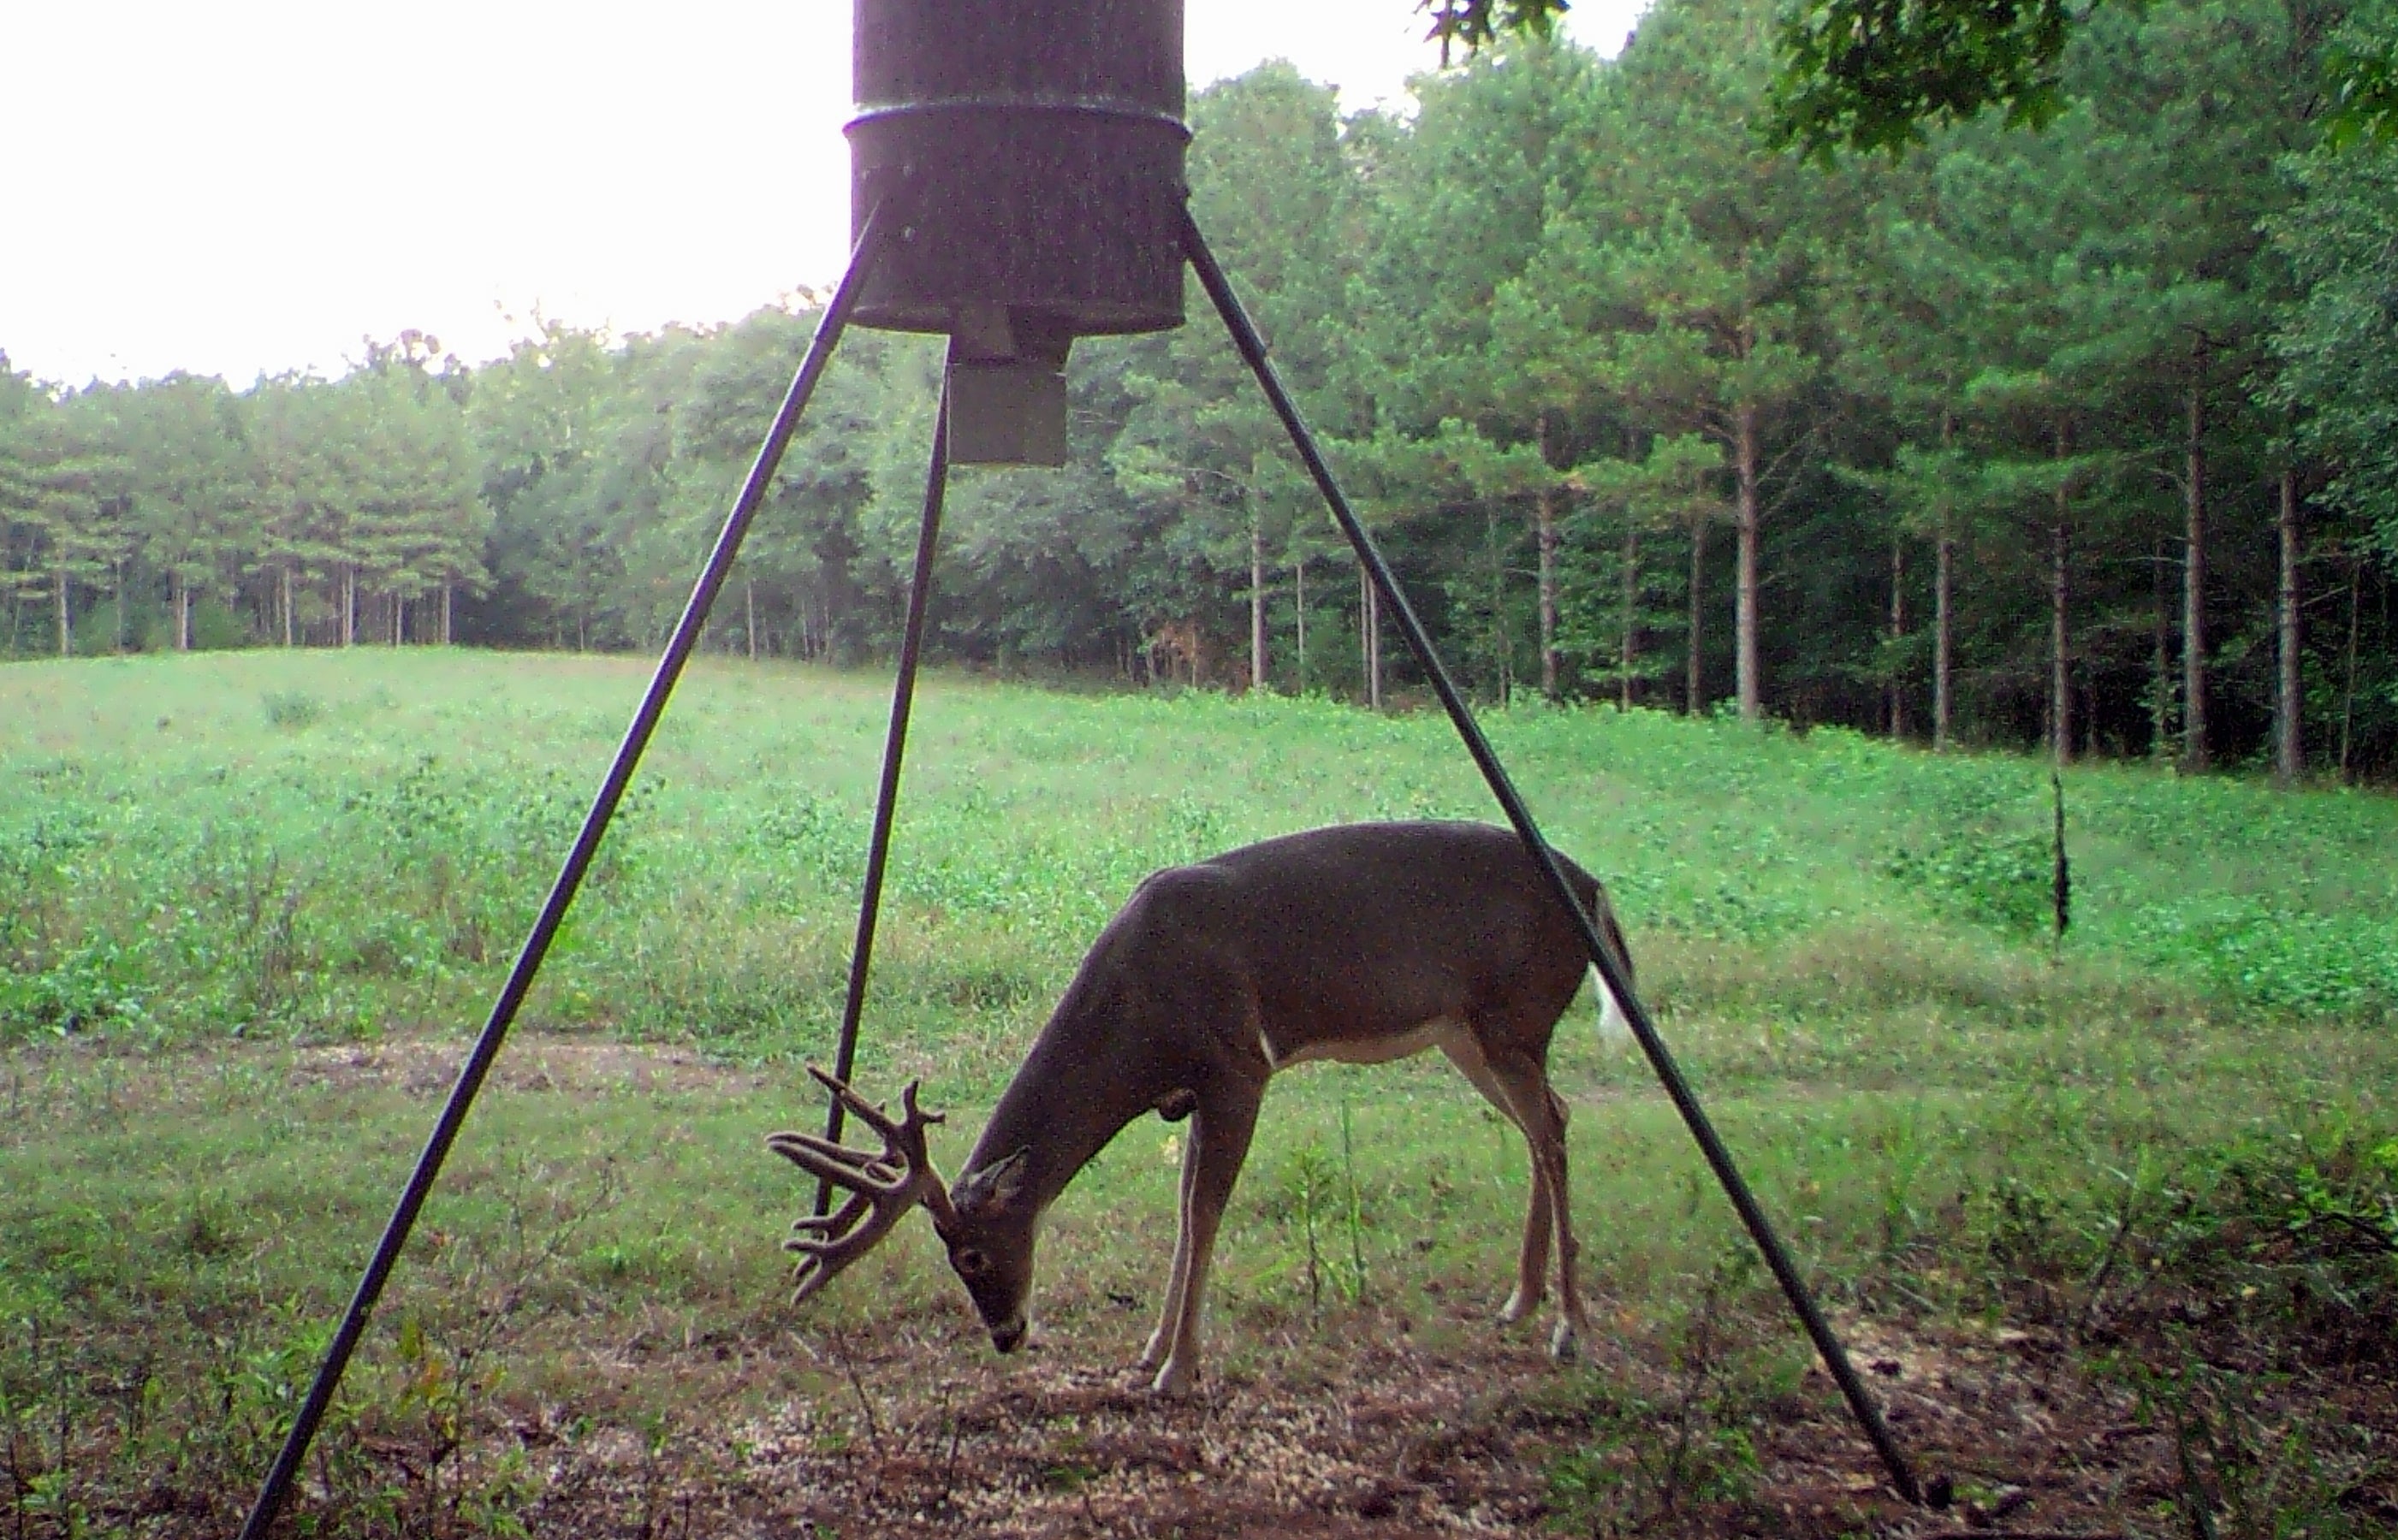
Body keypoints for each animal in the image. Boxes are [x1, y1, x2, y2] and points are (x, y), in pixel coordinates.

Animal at [765, 818, 1636, 1394]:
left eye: (972, 1255)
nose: (1007, 1335)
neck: (1139, 1013)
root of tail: (1596, 889)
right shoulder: (1183, 1093)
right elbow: (1185, 1207)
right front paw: (1151, 1351)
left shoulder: (1238, 1064)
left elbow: (1204, 1210)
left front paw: (1179, 1370)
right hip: (1469, 1033)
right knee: (1549, 1121)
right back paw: (1520, 1302)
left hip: (1515, 1014)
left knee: (1552, 1127)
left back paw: (1571, 1329)